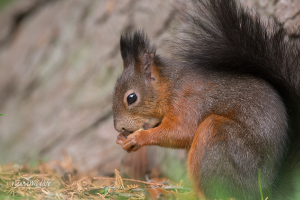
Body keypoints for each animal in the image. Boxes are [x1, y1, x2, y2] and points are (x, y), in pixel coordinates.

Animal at [111, 0, 298, 199]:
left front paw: (139, 138)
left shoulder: (189, 103)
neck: (171, 87)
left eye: (131, 98)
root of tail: (266, 189)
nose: (119, 127)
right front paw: (122, 140)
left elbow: (181, 132)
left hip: (219, 139)